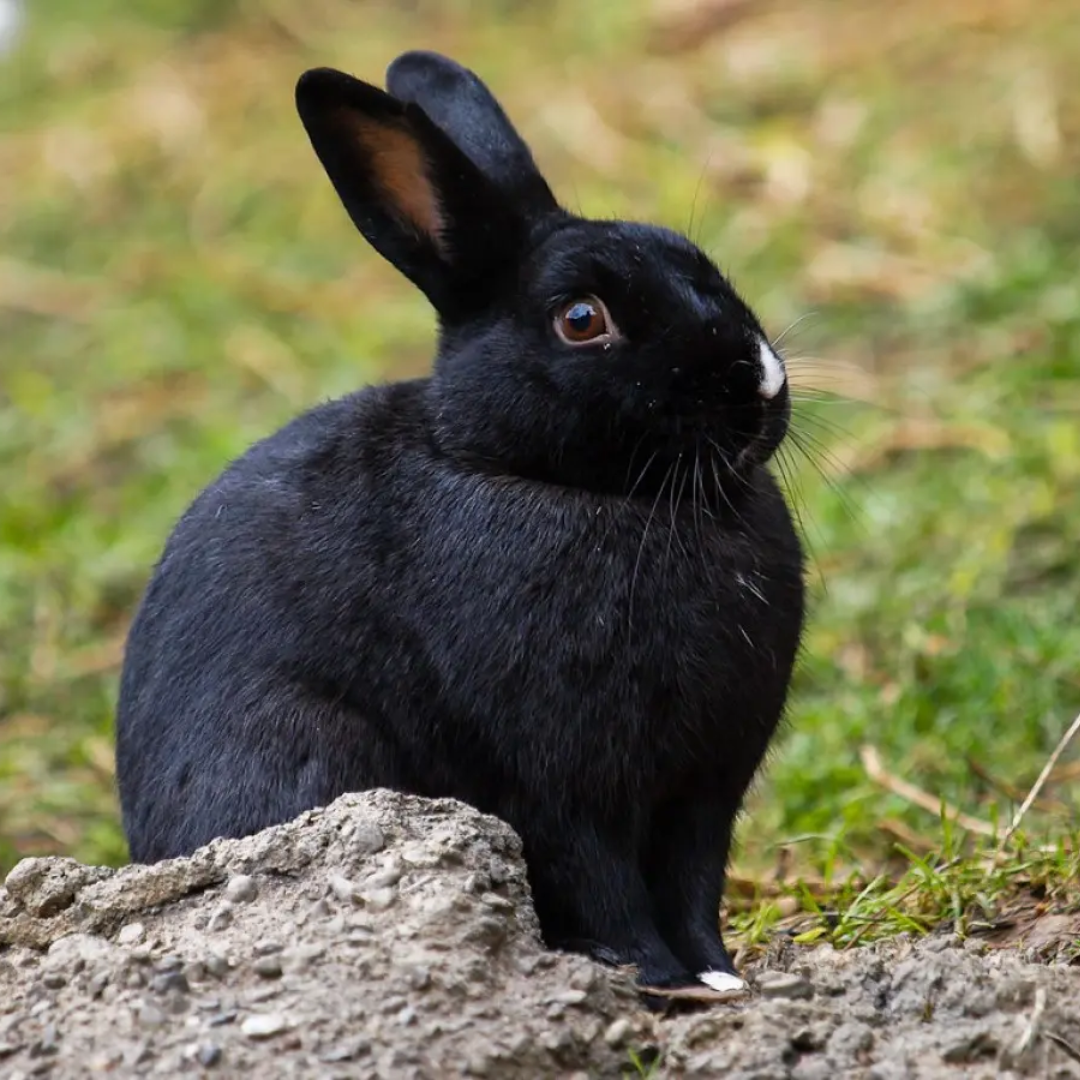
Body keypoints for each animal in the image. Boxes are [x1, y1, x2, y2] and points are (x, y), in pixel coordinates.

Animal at [115, 49, 805, 1000]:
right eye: (582, 320)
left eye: (697, 261)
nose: (760, 382)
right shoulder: (559, 785)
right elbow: (604, 883)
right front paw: (655, 978)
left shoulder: (704, 791)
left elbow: (692, 886)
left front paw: (719, 977)